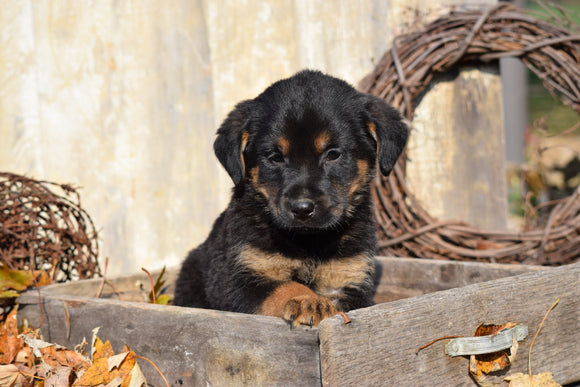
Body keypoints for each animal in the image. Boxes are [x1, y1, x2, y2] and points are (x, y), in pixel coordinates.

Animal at [173, 69, 408, 328]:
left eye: (333, 154)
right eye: (275, 157)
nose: (302, 209)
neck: (308, 242)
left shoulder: (349, 279)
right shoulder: (236, 280)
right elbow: (284, 286)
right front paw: (308, 301)